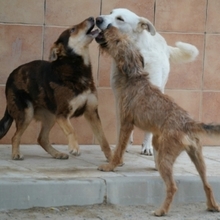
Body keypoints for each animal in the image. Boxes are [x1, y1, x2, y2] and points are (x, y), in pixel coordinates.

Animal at [0, 17, 111, 161]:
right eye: (72, 29)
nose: (93, 18)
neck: (77, 69)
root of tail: (10, 76)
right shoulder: (63, 114)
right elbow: (72, 130)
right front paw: (74, 147)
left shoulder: (92, 112)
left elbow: (103, 138)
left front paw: (112, 158)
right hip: (27, 112)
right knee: (15, 136)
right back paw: (16, 154)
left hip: (50, 115)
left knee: (41, 138)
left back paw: (57, 153)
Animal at [95, 8, 199, 167]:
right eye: (110, 12)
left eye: (120, 19)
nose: (98, 19)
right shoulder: (119, 98)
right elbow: (120, 129)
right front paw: (119, 150)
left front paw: (149, 148)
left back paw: (146, 146)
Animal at [95, 26, 219, 217]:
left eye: (118, 41)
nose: (109, 26)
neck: (134, 76)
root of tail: (188, 122)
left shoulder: (126, 123)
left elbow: (119, 148)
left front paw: (111, 166)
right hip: (198, 158)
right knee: (207, 184)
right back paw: (212, 206)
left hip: (164, 157)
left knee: (173, 187)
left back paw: (161, 211)